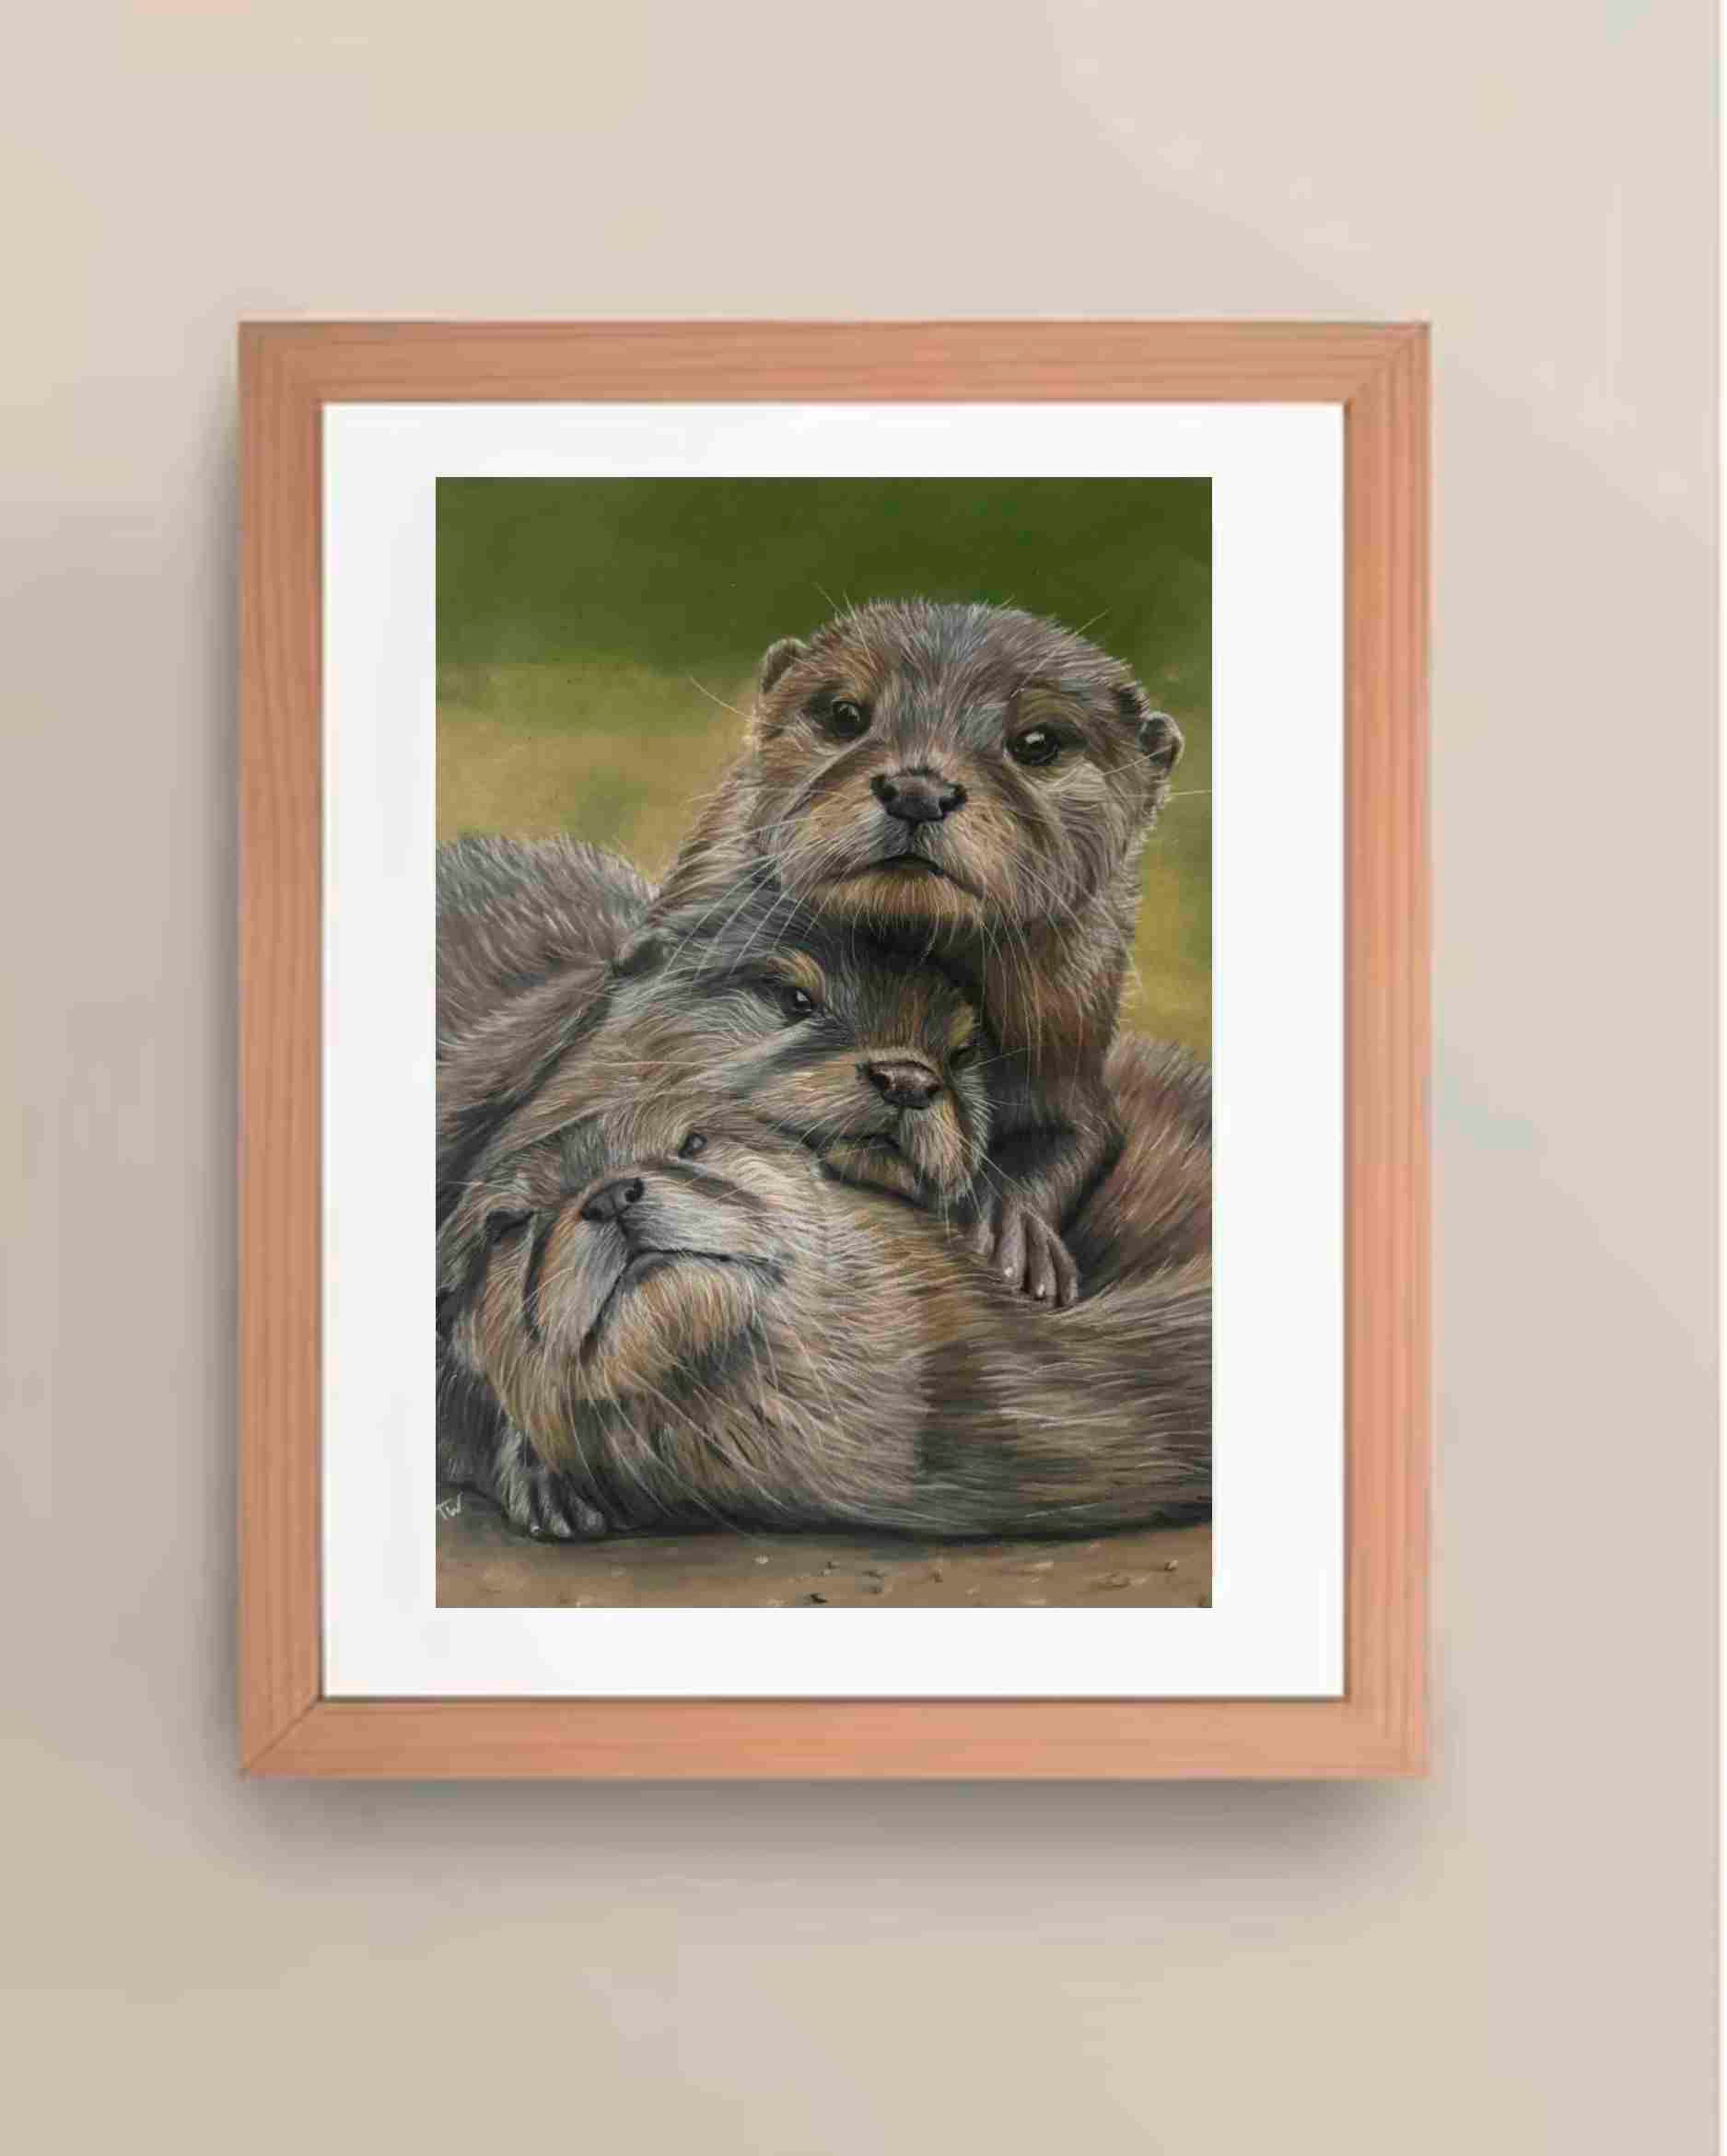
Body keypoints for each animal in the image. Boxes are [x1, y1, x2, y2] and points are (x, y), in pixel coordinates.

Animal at [641, 600, 1184, 1306]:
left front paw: (1015, 1232)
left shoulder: (1070, 1039)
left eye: (1037, 742)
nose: (917, 789)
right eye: (844, 714)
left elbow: (1080, 1137)